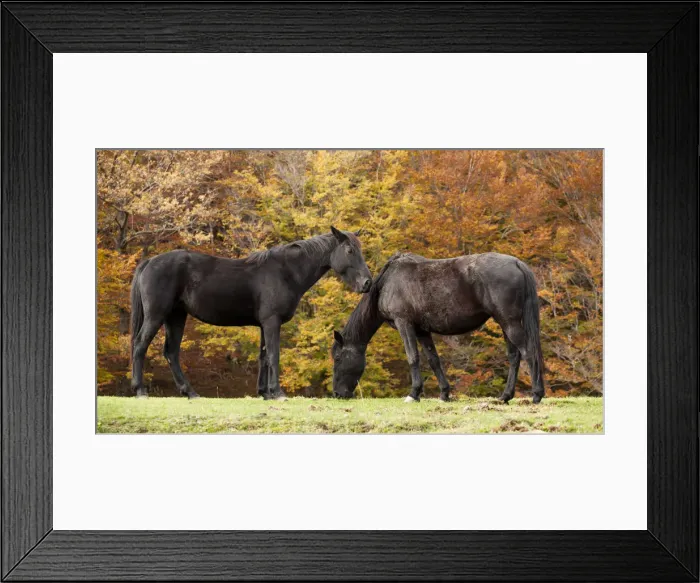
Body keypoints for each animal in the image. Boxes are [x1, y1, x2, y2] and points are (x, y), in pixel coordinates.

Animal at [130, 227, 372, 400]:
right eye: (350, 251)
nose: (367, 283)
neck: (285, 272)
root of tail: (149, 262)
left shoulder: (265, 324)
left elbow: (263, 356)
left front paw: (265, 393)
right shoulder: (272, 322)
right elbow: (273, 355)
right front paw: (278, 393)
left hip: (176, 317)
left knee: (171, 353)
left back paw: (190, 392)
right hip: (156, 316)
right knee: (140, 345)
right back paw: (140, 390)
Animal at [332, 252, 546, 403]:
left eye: (338, 358)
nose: (337, 393)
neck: (387, 282)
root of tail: (516, 263)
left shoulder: (404, 324)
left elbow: (413, 357)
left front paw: (414, 393)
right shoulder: (422, 330)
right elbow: (433, 360)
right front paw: (444, 393)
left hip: (509, 323)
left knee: (528, 352)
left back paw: (536, 394)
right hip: (505, 323)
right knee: (514, 356)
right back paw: (505, 396)